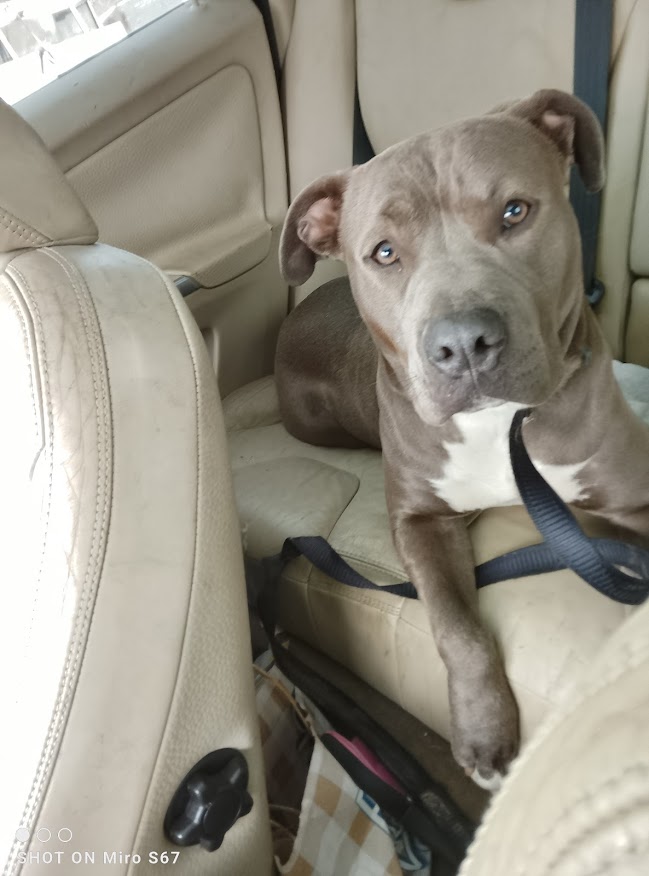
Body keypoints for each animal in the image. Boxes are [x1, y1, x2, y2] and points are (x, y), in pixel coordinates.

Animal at [275, 90, 649, 789]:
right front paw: (483, 731)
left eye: (515, 211)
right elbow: (457, 628)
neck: (501, 425)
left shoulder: (633, 498)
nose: (463, 344)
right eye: (384, 252)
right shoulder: (421, 522)